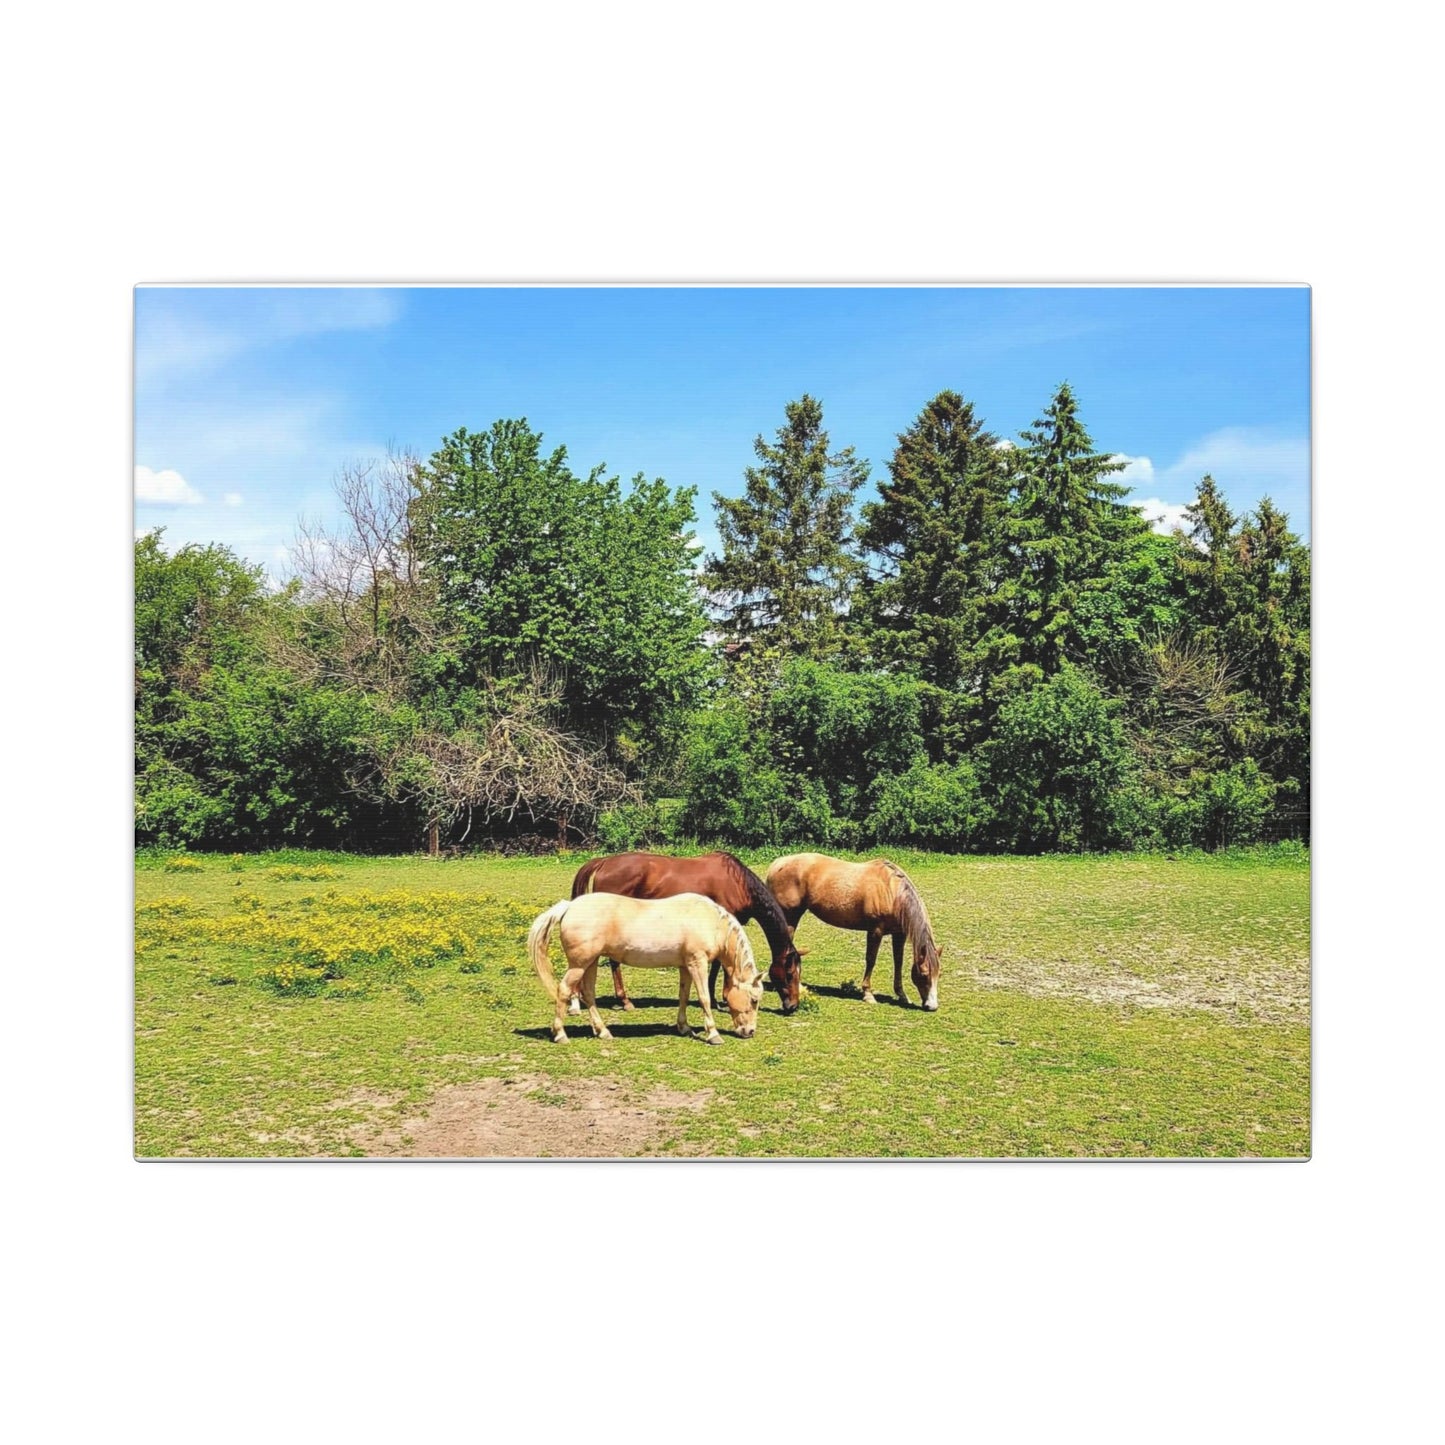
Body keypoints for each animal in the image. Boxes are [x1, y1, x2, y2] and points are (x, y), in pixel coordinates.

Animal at [527, 891, 764, 1045]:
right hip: (579, 965)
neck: (711, 921)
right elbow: (704, 998)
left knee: (588, 993)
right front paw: (713, 1034)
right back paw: (560, 1035)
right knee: (564, 990)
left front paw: (684, 1027)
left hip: (590, 963)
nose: (750, 1031)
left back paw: (602, 1031)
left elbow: (684, 996)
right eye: (754, 1000)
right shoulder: (698, 963)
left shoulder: (685, 966)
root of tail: (569, 906)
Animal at [569, 851, 806, 1014]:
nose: (793, 1006)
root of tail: (604, 862)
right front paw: (723, 997)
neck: (738, 884)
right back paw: (624, 1000)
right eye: (790, 973)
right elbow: (720, 964)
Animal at [764, 853, 942, 1010]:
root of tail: (777, 864)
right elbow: (871, 960)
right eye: (924, 974)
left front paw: (902, 995)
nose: (932, 1006)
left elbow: (898, 961)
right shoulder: (875, 931)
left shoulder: (899, 934)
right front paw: (868, 994)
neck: (892, 892)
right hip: (790, 916)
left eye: (938, 974)